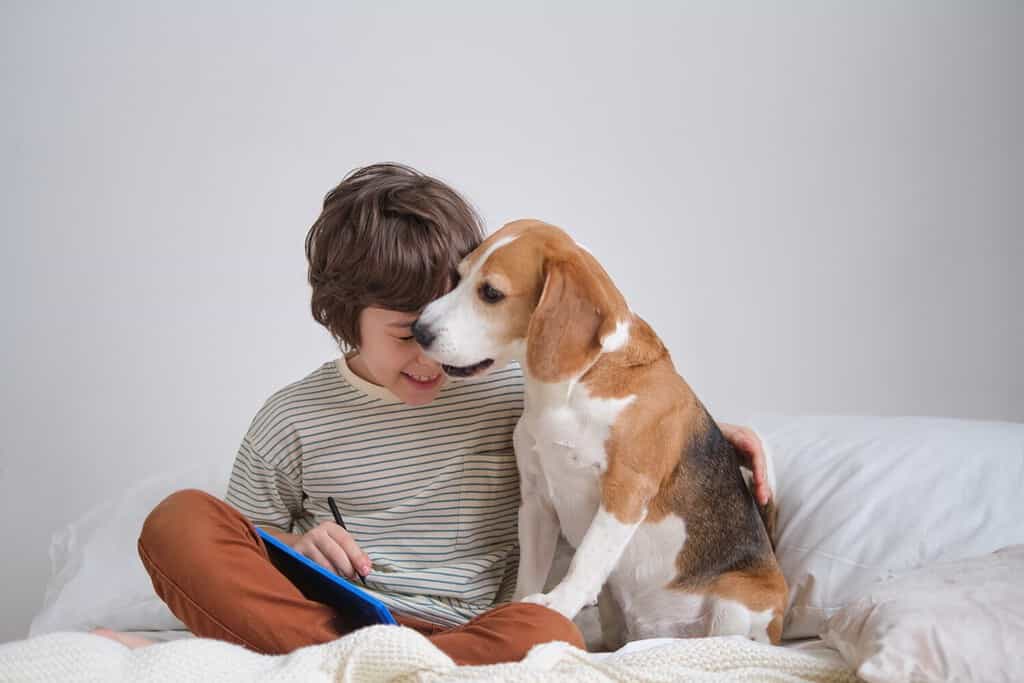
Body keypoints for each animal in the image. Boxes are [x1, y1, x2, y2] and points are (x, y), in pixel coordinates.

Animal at [411, 222, 786, 651]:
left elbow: (586, 560)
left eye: (491, 293)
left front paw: (556, 604)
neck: (572, 387)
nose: (417, 331)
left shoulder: (625, 492)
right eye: (458, 276)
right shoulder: (536, 500)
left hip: (739, 600)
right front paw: (519, 608)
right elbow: (529, 572)